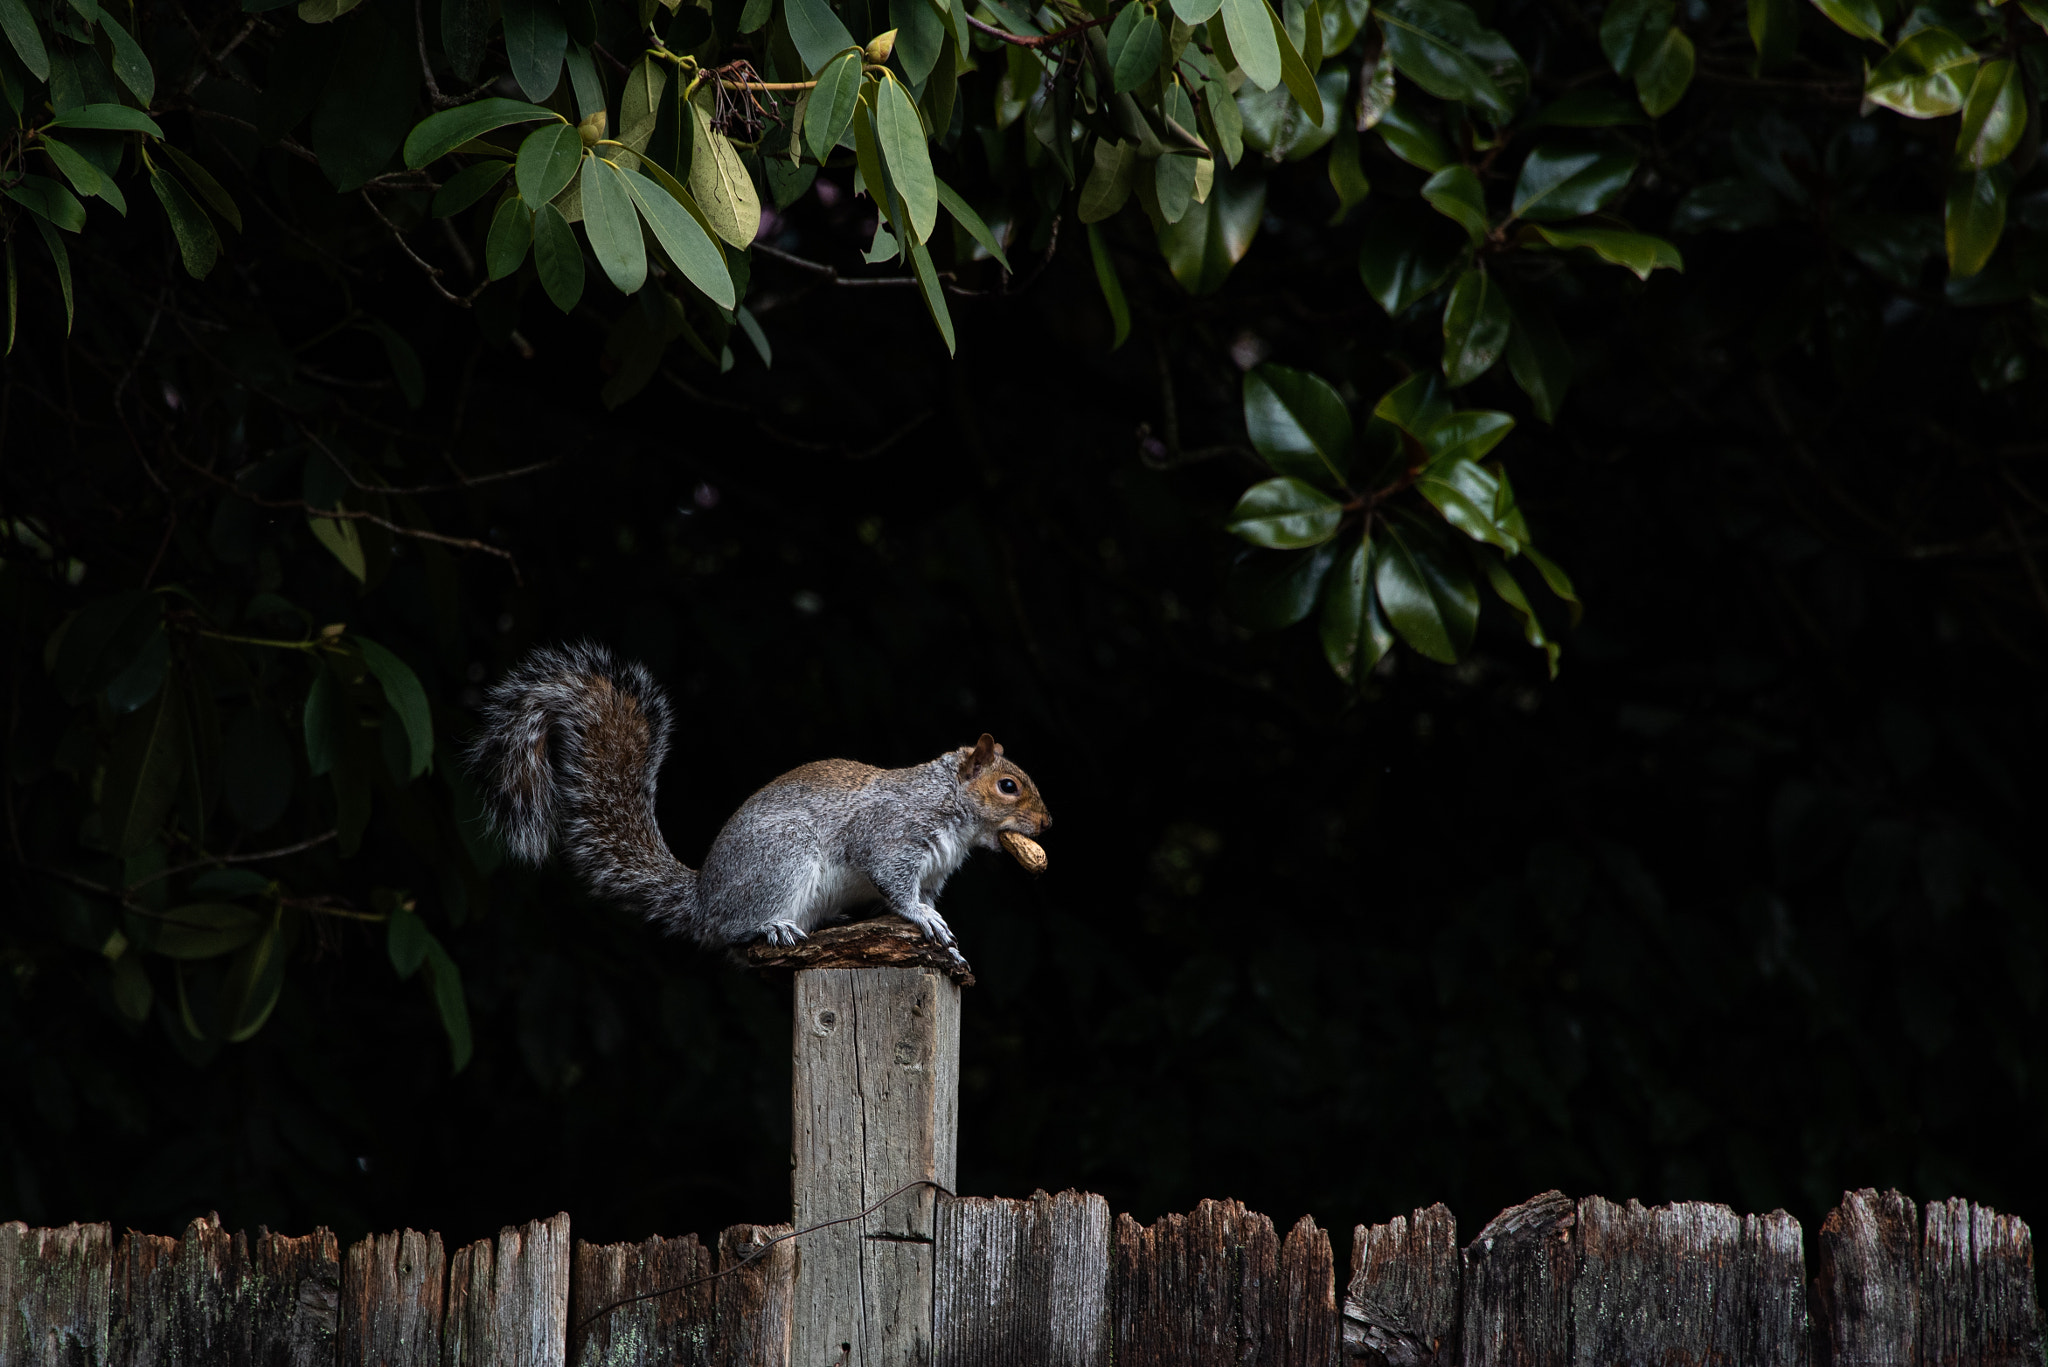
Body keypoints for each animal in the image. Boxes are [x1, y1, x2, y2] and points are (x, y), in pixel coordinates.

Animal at [466, 643, 1056, 950]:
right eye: (1008, 786)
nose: (1047, 825)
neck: (949, 809)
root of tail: (703, 897)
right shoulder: (894, 836)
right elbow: (893, 881)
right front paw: (921, 917)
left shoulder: (933, 868)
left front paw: (936, 923)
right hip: (781, 858)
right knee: (730, 929)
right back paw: (771, 924)